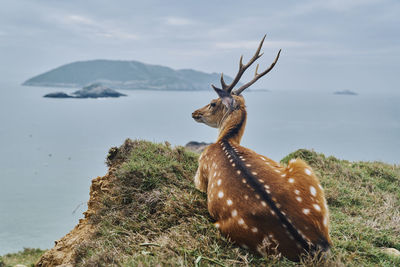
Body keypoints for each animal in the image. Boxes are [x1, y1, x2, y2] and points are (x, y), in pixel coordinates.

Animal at [191, 35, 332, 262]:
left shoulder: (201, 169)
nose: (194, 113)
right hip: (306, 171)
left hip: (225, 226)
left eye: (212, 103)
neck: (225, 140)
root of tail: (312, 246)